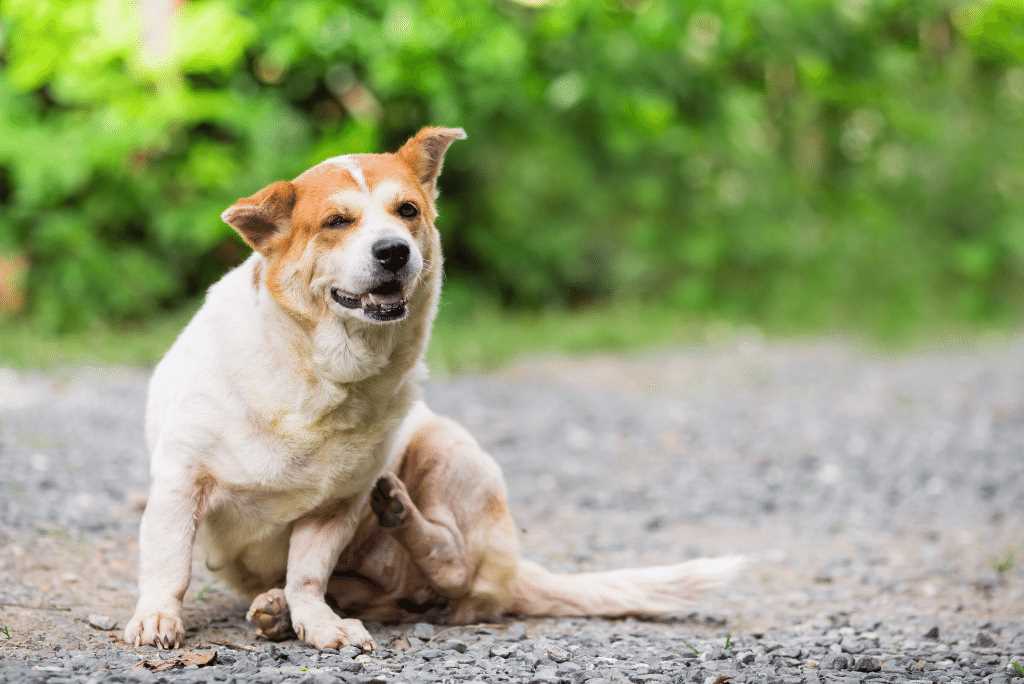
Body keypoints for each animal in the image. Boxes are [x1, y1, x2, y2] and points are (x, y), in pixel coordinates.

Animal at [125, 126, 745, 651]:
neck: (322, 375)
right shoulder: (181, 481)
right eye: (337, 222)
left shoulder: (337, 505)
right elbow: (169, 563)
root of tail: (515, 570)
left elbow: (307, 573)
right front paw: (158, 617)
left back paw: (396, 518)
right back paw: (277, 609)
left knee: (452, 565)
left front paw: (319, 623)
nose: (394, 251)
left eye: (407, 211)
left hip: (448, 448)